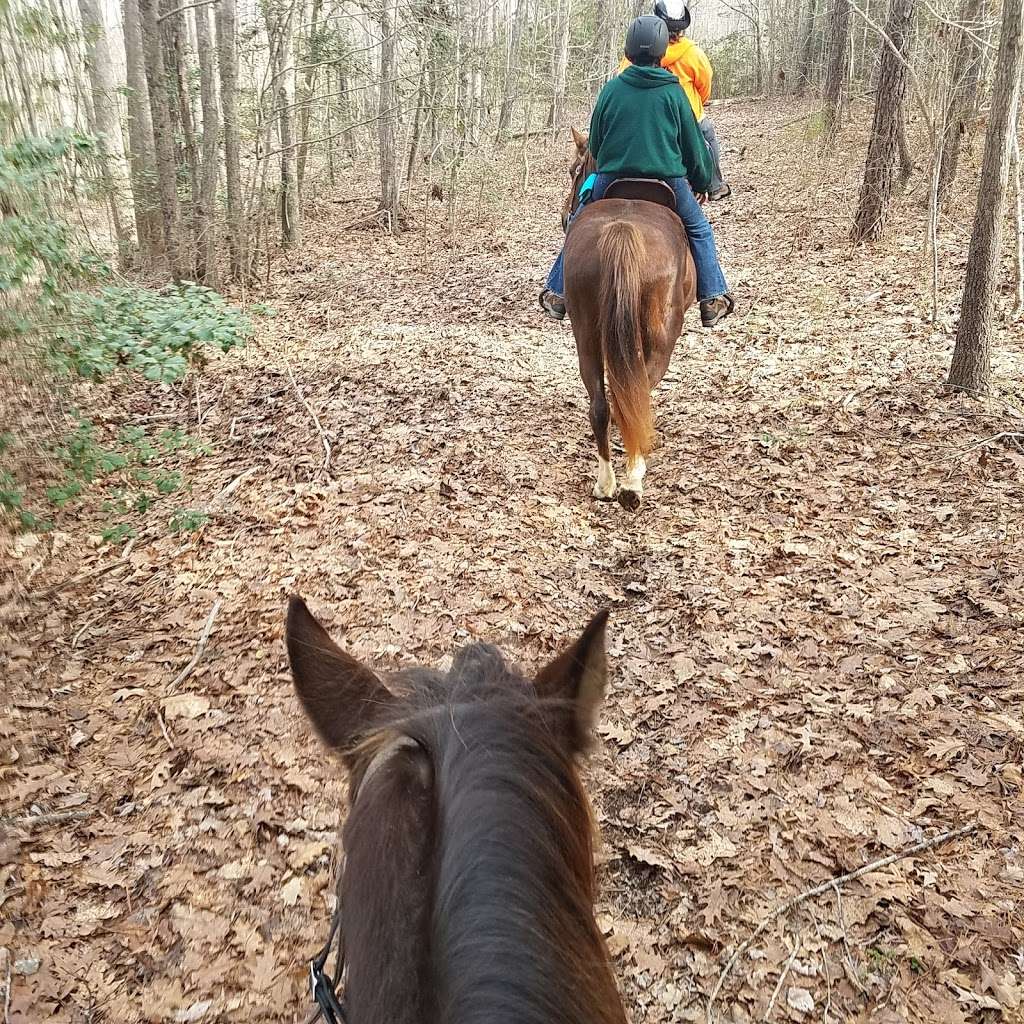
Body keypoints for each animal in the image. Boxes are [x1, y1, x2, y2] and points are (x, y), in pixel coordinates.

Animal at [561, 130, 696, 509]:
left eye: (575, 170)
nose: (563, 217)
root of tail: (623, 229)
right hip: (661, 341)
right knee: (637, 397)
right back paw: (632, 481)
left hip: (586, 334)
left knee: (601, 405)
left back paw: (606, 483)